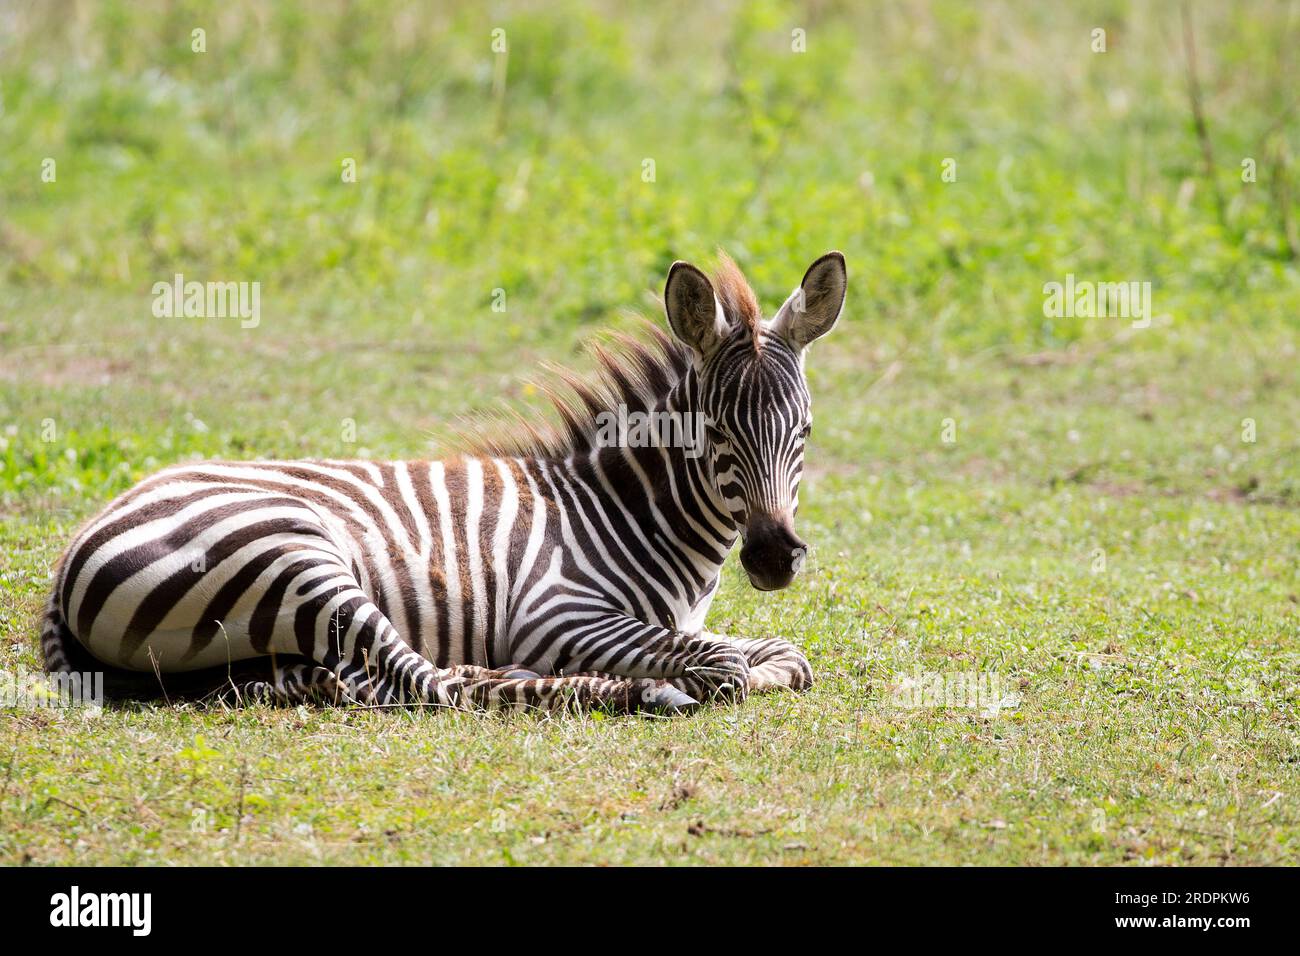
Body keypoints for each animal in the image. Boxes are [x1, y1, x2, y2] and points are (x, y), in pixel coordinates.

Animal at [40, 251, 847, 714]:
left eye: (805, 433)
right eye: (717, 433)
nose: (775, 559)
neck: (619, 511)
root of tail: (77, 544)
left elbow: (784, 657)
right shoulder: (556, 615)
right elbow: (727, 666)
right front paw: (682, 675)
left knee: (360, 677)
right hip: (294, 554)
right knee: (432, 681)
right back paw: (632, 690)